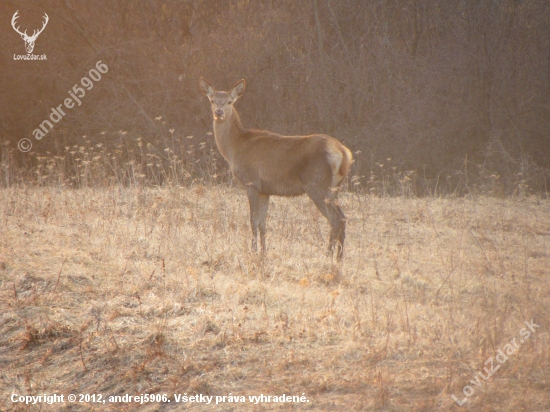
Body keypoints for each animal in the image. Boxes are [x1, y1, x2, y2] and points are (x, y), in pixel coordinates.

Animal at [202, 77, 354, 258]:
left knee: (335, 219)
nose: (218, 112)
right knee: (343, 218)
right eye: (212, 100)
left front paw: (253, 251)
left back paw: (327, 255)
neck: (235, 147)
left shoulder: (252, 182)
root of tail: (344, 153)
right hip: (334, 188)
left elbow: (252, 221)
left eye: (229, 101)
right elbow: (262, 223)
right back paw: (339, 257)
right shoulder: (265, 190)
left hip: (317, 184)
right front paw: (263, 252)